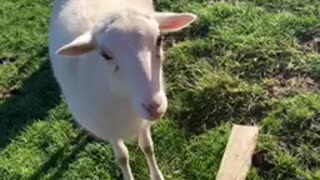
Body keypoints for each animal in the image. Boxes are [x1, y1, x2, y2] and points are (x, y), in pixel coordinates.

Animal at [48, 0, 196, 179]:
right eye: (105, 55)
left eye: (159, 39)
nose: (154, 106)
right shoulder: (110, 129)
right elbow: (122, 157)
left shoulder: (142, 122)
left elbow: (147, 147)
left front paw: (156, 175)